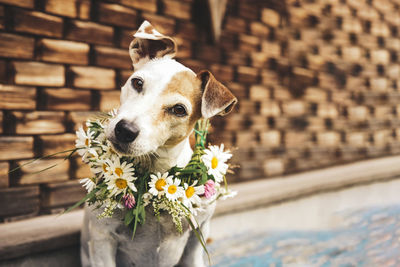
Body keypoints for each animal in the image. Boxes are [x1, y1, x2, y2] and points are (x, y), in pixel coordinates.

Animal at [81, 21, 238, 267]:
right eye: (137, 82)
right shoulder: (102, 239)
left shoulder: (196, 238)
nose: (125, 130)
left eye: (179, 109)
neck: (153, 171)